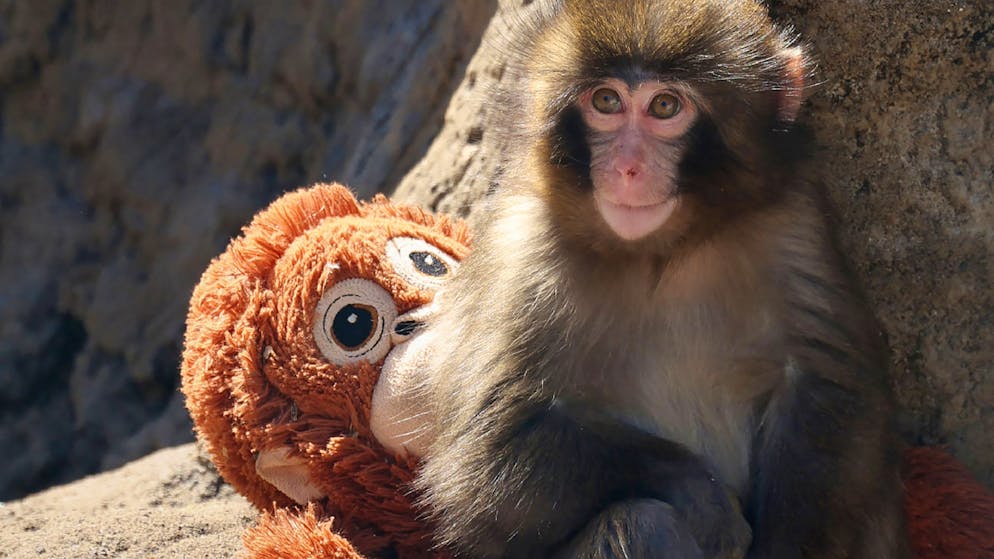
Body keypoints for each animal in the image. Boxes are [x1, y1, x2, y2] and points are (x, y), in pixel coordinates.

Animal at [413, 0, 909, 557]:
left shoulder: (793, 223)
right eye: (606, 101)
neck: (661, 253)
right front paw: (701, 493)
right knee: (641, 522)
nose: (627, 168)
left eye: (666, 107)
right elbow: (487, 459)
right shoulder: (522, 255)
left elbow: (829, 390)